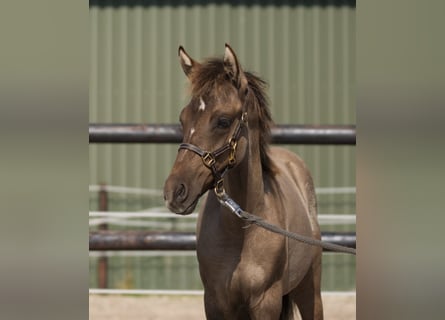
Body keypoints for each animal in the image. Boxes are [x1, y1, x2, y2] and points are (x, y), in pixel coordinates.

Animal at [163, 43, 322, 318]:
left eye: (223, 121)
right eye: (183, 119)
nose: (175, 192)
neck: (241, 230)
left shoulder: (266, 302)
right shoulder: (215, 302)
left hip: (310, 292)